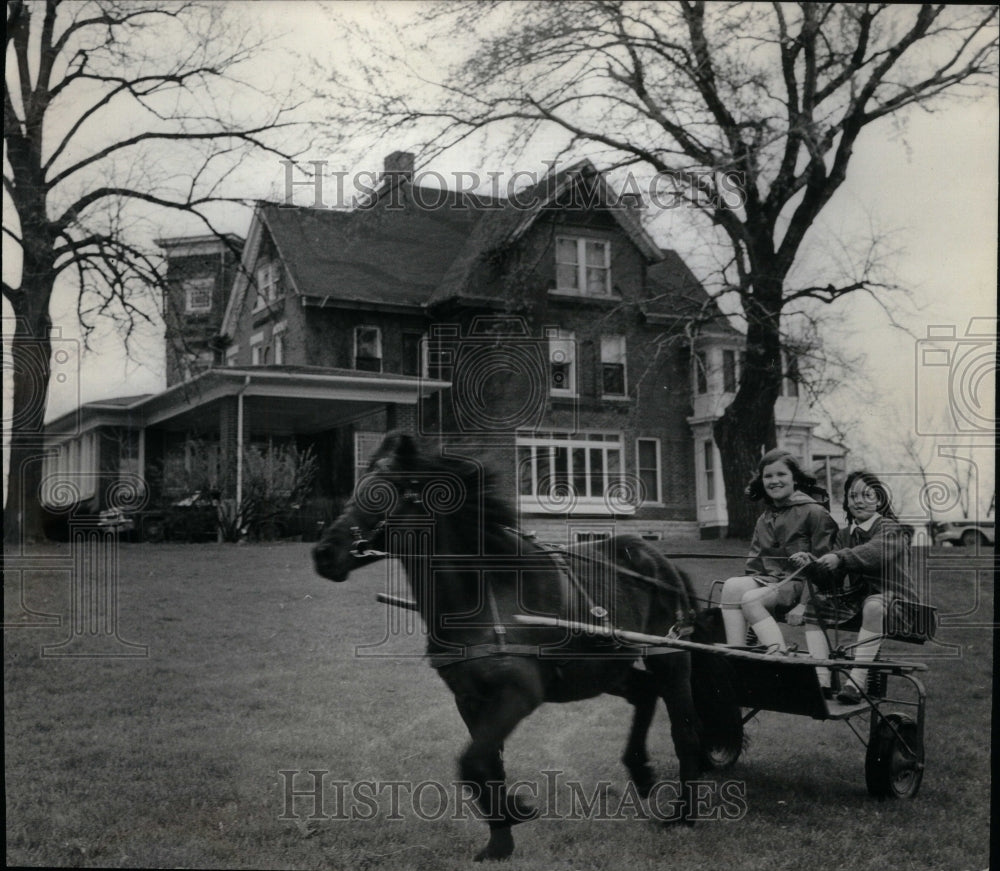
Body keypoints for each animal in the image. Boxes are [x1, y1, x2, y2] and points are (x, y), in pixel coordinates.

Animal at [312, 432, 744, 860]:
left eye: (383, 491)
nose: (323, 553)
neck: (484, 592)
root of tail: (661, 561)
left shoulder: (519, 693)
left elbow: (472, 762)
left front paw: (515, 810)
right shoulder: (469, 699)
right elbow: (486, 765)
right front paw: (500, 839)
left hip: (669, 658)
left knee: (685, 732)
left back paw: (683, 815)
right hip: (606, 668)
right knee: (645, 693)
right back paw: (640, 769)